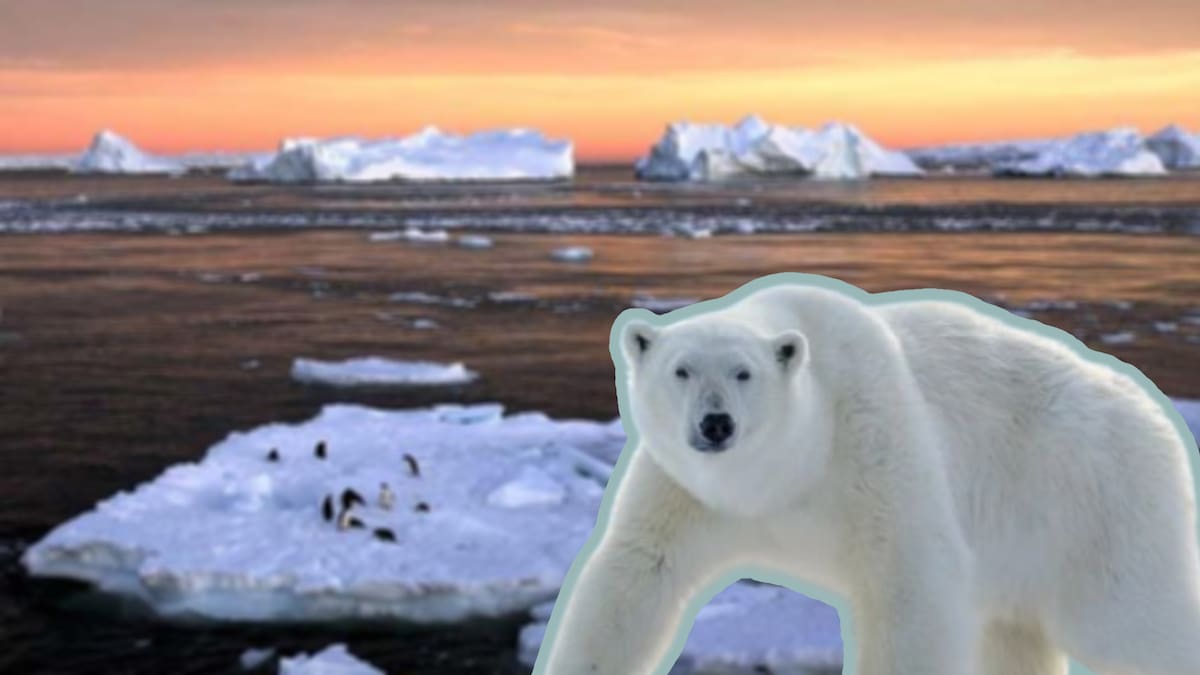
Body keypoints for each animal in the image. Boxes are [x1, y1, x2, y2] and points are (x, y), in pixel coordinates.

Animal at [535, 274, 1200, 675]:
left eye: (744, 372)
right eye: (681, 370)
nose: (716, 424)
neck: (783, 474)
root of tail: (1155, 412)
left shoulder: (871, 442)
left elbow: (909, 582)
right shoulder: (685, 491)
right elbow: (635, 577)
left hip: (1090, 504)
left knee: (1131, 622)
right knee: (1015, 635)